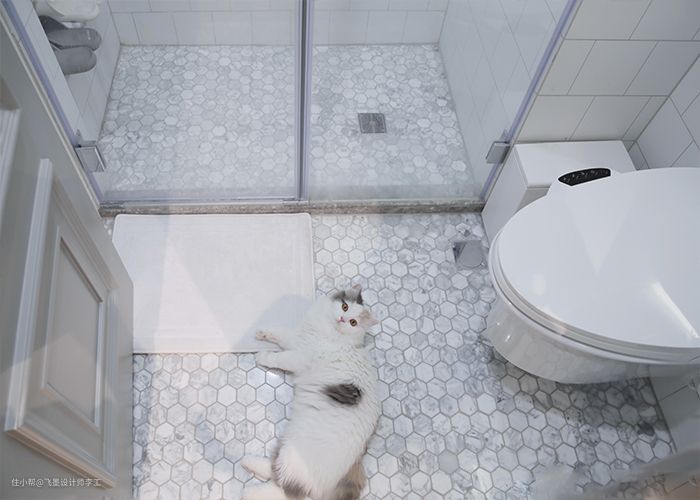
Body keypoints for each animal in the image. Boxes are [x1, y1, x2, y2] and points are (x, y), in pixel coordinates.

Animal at [240, 285, 381, 500]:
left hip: (293, 457)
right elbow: (279, 333)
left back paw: (248, 489)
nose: (342, 319)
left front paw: (263, 356)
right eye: (345, 307)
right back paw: (248, 462)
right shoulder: (296, 339)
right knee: (273, 469)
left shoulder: (298, 357)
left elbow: (278, 358)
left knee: (283, 489)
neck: (327, 331)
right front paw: (263, 334)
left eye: (353, 323)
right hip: (287, 447)